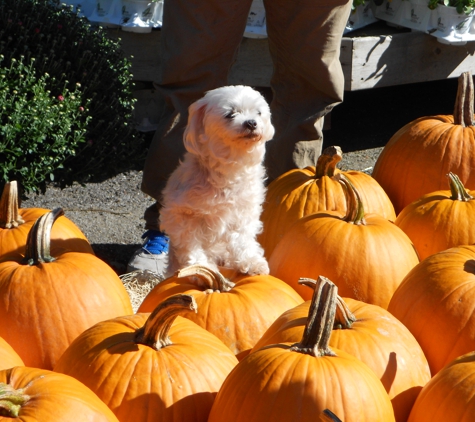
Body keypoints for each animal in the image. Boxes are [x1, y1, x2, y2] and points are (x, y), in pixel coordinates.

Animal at [159, 85, 276, 276]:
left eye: (258, 113)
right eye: (230, 114)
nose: (251, 123)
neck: (230, 170)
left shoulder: (243, 213)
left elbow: (243, 239)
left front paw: (251, 261)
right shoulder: (180, 215)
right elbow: (191, 244)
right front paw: (199, 268)